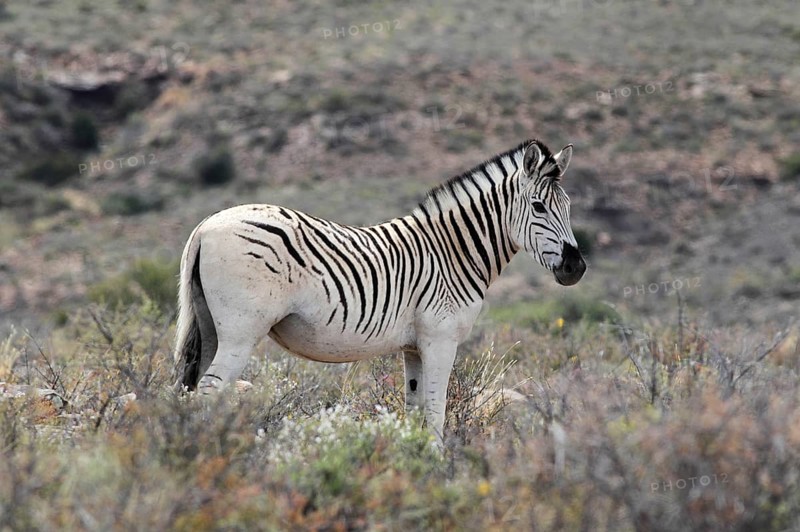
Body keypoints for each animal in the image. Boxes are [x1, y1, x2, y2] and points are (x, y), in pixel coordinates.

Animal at [173, 139, 586, 445]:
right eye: (538, 207)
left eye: (568, 207)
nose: (576, 268)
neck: (453, 252)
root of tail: (206, 225)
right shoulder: (441, 338)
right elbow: (436, 413)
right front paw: (438, 470)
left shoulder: (414, 346)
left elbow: (415, 411)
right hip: (241, 331)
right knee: (210, 390)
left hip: (210, 327)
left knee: (190, 389)